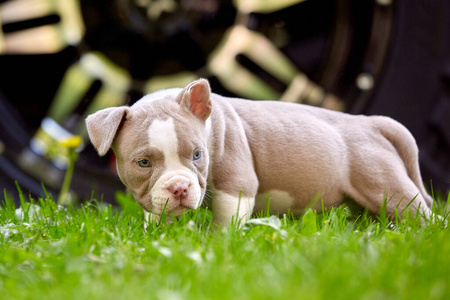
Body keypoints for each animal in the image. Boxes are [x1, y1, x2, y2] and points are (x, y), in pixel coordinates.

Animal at [86, 78, 434, 225]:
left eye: (198, 155)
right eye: (144, 162)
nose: (181, 187)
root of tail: (371, 122)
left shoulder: (236, 186)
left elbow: (227, 222)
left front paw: (219, 248)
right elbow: (156, 214)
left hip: (386, 186)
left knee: (423, 214)